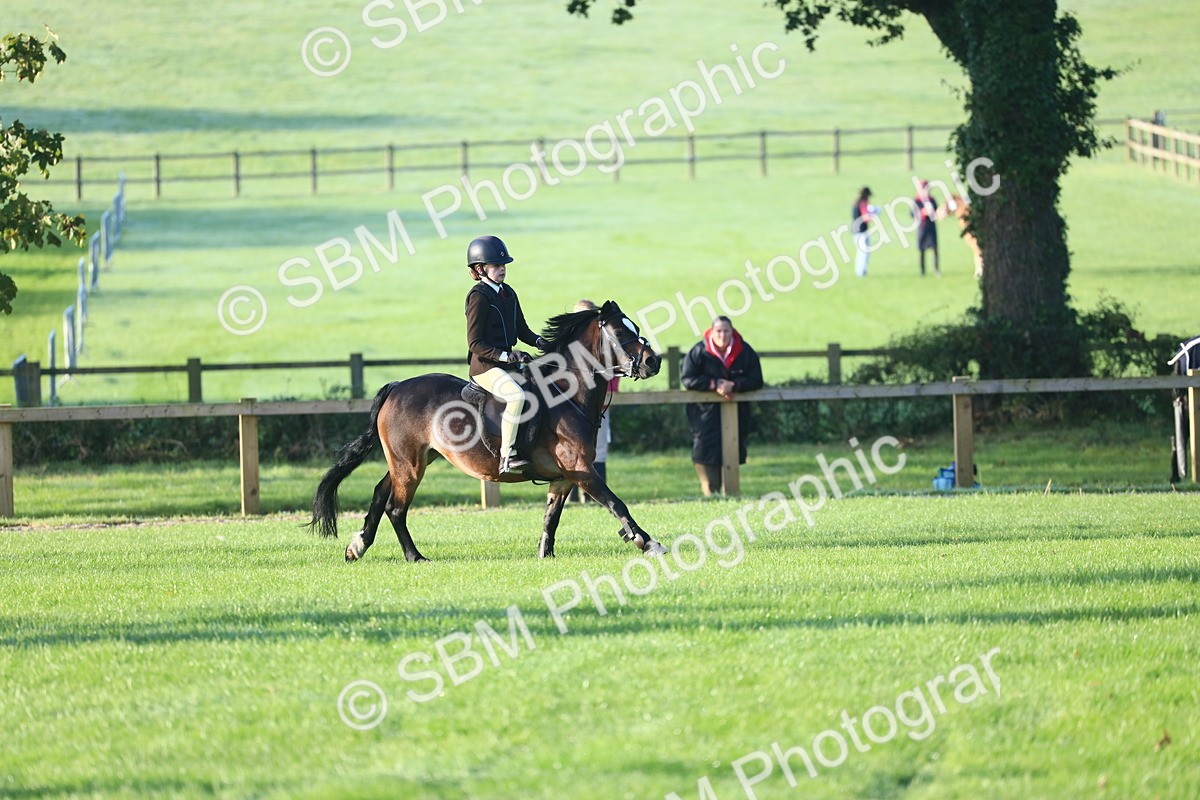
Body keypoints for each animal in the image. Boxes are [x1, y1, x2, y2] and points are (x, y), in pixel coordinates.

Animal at [308, 300, 669, 562]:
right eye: (621, 333)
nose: (653, 362)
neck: (568, 394)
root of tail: (397, 387)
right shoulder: (579, 468)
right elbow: (616, 503)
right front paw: (647, 542)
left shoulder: (564, 476)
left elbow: (551, 516)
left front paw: (545, 555)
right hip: (409, 465)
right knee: (395, 508)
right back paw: (415, 556)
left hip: (411, 460)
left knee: (380, 493)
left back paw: (356, 547)